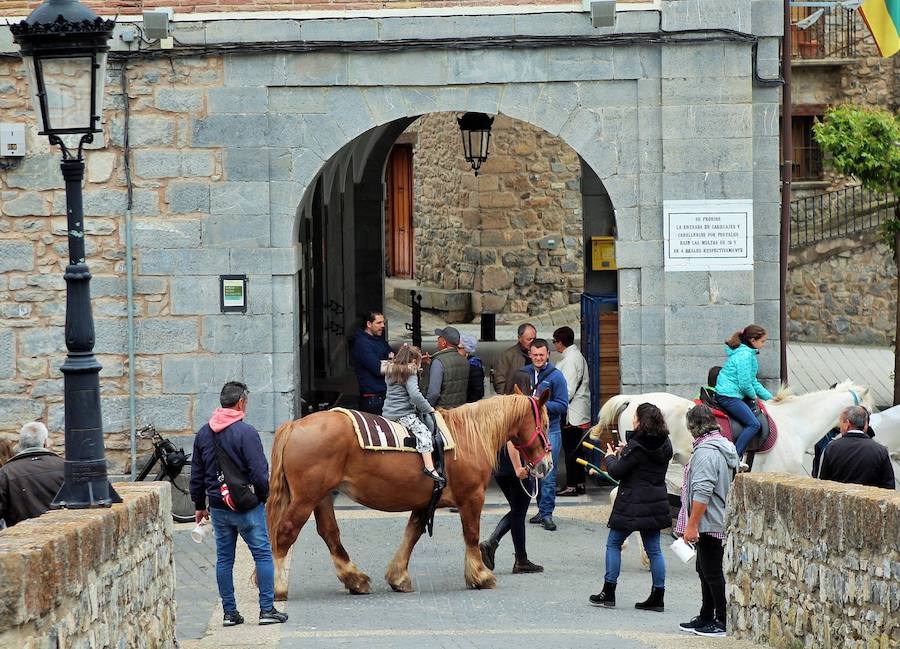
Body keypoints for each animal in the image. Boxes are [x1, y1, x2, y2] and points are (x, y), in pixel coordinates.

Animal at [264, 390, 552, 596]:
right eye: (547, 424)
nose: (546, 464)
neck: (467, 437)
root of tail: (294, 425)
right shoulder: (471, 497)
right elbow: (471, 535)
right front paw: (480, 575)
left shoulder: (425, 501)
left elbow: (411, 535)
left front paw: (398, 576)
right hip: (306, 498)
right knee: (285, 533)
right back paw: (277, 586)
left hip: (322, 496)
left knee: (330, 534)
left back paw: (354, 579)